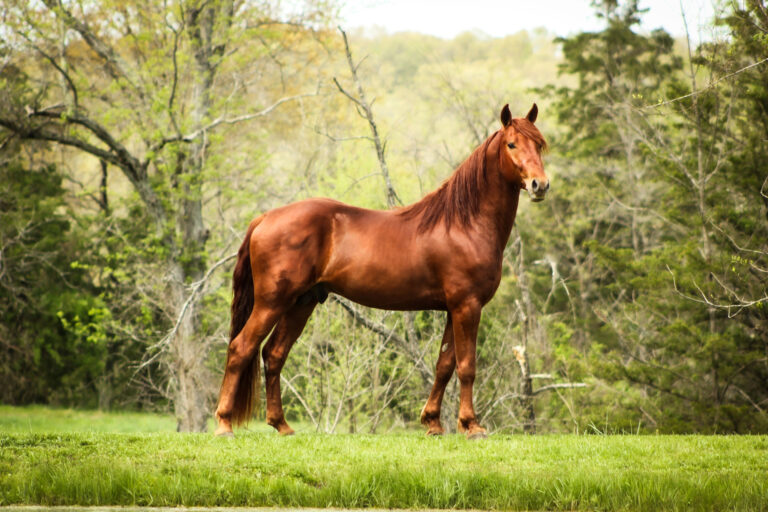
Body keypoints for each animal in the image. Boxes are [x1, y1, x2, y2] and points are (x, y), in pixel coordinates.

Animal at [214, 103, 549, 439]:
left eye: (539, 144)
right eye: (511, 144)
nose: (540, 185)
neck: (464, 224)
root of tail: (265, 218)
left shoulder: (453, 309)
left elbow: (444, 365)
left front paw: (433, 422)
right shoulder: (467, 306)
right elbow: (467, 366)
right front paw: (471, 425)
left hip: (301, 302)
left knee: (273, 354)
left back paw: (281, 425)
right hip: (272, 302)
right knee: (241, 348)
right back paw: (224, 424)